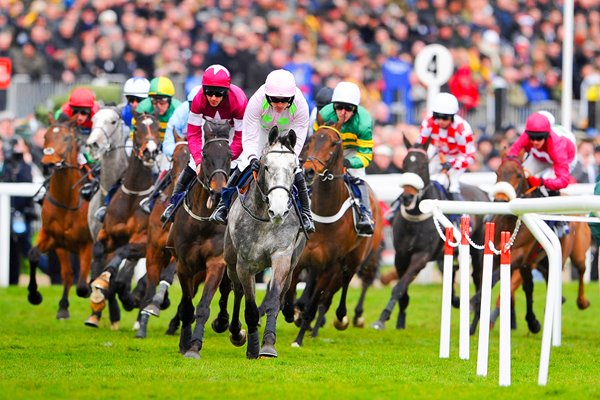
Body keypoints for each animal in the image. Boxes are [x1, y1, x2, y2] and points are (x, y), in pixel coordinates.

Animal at [28, 115, 93, 318]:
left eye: (66, 138)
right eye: (45, 136)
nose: (48, 163)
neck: (67, 201)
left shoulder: (88, 243)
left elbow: (82, 286)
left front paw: (90, 288)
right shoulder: (54, 238)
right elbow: (34, 255)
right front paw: (35, 296)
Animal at [83, 110, 162, 328]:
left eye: (156, 126)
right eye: (137, 127)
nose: (150, 151)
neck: (133, 196)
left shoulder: (142, 241)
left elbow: (123, 256)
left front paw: (110, 286)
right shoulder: (106, 234)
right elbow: (98, 252)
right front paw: (96, 292)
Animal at [226, 128, 310, 360]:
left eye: (294, 168)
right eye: (266, 166)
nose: (279, 211)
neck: (264, 219)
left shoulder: (282, 256)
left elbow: (273, 301)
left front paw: (268, 346)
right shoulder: (244, 263)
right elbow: (250, 307)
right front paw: (252, 347)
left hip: (292, 262)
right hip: (230, 259)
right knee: (237, 290)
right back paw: (236, 333)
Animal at [290, 124, 386, 346]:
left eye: (334, 143)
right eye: (312, 139)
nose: (309, 170)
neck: (325, 214)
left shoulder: (329, 266)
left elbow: (315, 302)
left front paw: (299, 337)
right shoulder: (303, 260)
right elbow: (289, 295)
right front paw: (292, 312)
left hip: (354, 259)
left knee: (342, 284)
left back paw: (340, 317)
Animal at [372, 140, 490, 332]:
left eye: (422, 165)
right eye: (404, 163)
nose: (407, 197)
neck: (416, 217)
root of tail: (484, 192)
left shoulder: (421, 256)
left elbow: (399, 286)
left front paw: (382, 318)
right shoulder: (401, 255)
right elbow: (402, 288)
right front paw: (399, 319)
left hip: (478, 252)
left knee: (479, 280)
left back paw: (473, 326)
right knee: (451, 276)